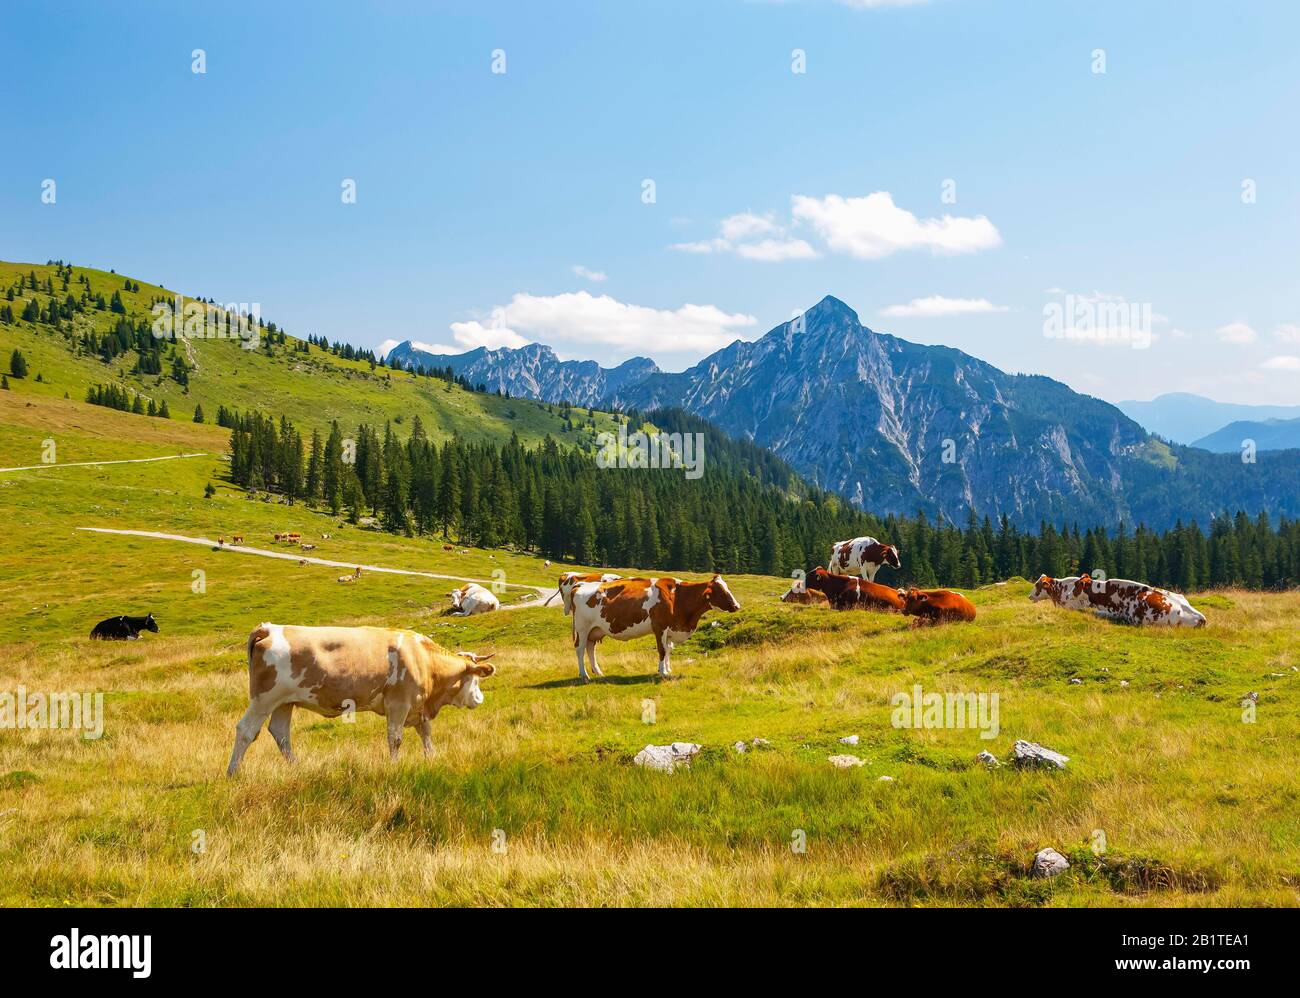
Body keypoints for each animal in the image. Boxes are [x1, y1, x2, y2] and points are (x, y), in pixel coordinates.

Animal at [226, 618, 493, 774]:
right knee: (246, 730)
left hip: (285, 701)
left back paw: (297, 768)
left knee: (281, 733)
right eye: (476, 679)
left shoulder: (418, 708)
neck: (423, 659)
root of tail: (269, 628)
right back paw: (233, 773)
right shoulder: (398, 704)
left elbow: (426, 735)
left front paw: (432, 759)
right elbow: (395, 739)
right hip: (264, 699)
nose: (480, 699)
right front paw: (394, 767)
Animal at [572, 571, 743, 680]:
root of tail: (579, 585)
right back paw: (584, 675)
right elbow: (662, 650)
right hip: (582, 628)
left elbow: (668, 650)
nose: (737, 606)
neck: (678, 597)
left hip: (595, 630)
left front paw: (667, 669)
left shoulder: (670, 629)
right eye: (721, 591)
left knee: (590, 648)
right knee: (580, 649)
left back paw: (598, 672)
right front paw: (662, 673)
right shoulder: (660, 627)